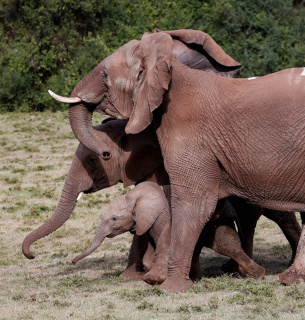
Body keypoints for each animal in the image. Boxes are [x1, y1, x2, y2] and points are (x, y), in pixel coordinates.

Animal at [71, 181, 264, 284]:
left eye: (114, 218)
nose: (72, 262)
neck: (135, 195)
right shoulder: (146, 223)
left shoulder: (160, 217)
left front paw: (154, 279)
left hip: (218, 221)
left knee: (228, 245)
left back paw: (258, 275)